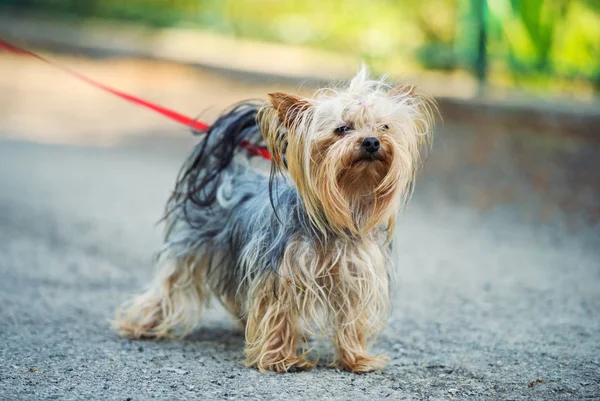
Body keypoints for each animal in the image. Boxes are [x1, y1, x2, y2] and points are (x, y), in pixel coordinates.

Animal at [116, 67, 436, 374]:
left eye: (384, 127)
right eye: (342, 129)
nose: (371, 141)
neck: (342, 208)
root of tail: (230, 175)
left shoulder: (354, 275)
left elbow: (351, 319)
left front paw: (356, 359)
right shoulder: (280, 274)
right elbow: (278, 314)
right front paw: (281, 359)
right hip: (191, 251)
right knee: (168, 287)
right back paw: (140, 325)